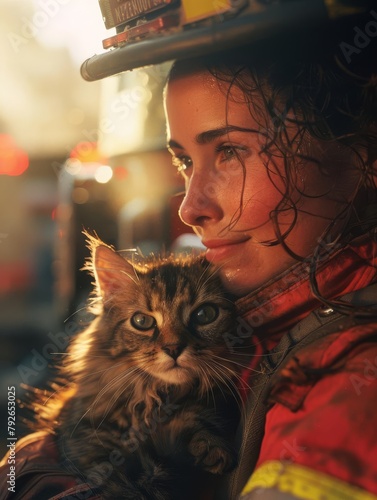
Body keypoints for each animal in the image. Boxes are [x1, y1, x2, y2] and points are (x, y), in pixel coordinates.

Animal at [36, 236, 242, 498]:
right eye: (142, 321)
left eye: (205, 314)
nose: (174, 349)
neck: (152, 398)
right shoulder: (85, 439)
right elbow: (117, 478)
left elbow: (195, 423)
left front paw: (209, 446)